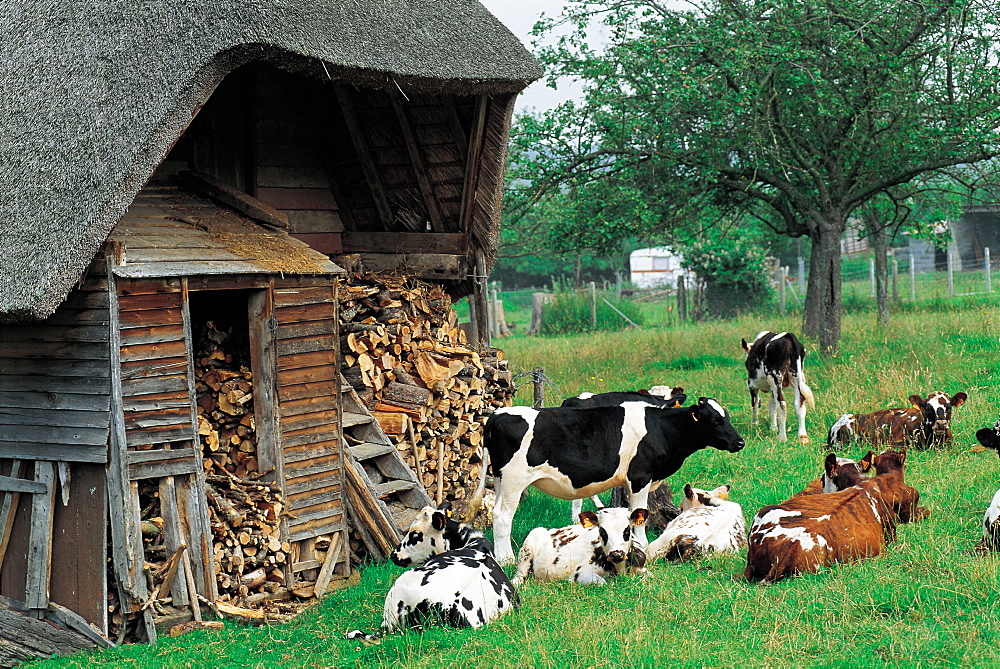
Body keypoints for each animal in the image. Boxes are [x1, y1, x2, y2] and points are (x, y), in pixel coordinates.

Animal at [480, 396, 748, 564]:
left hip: (501, 480)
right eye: (715, 420)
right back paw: (506, 558)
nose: (740, 442)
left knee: (496, 513)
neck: (660, 428)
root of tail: (497, 414)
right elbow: (640, 516)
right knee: (503, 517)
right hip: (514, 480)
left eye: (727, 417)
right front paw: (642, 545)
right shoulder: (640, 477)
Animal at [512, 506, 652, 584]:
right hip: (528, 546)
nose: (616, 554)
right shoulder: (580, 573)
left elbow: (649, 576)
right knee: (519, 576)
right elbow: (601, 582)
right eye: (602, 530)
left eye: (627, 530)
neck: (619, 569)